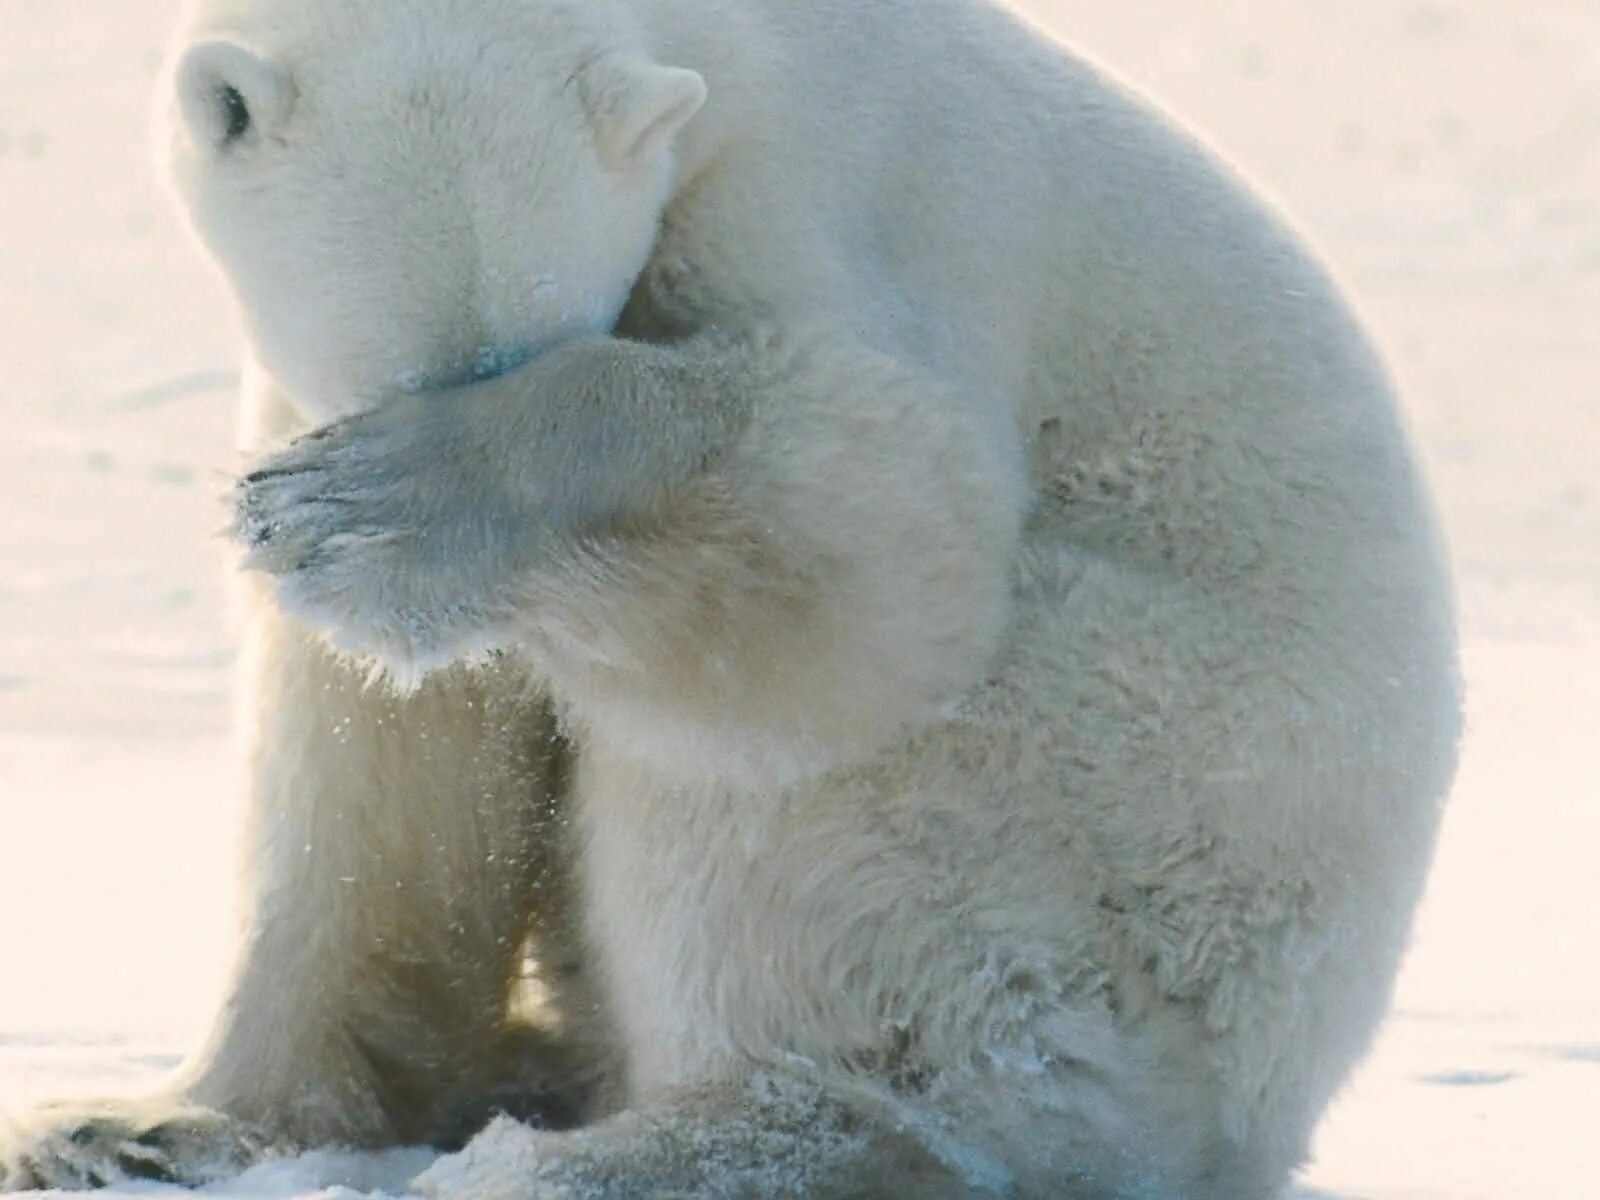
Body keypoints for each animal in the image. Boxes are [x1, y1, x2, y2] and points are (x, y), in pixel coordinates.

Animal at [0, 0, 1459, 1196]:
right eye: (392, 367)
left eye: (531, 350)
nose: (422, 623)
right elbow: (383, 776)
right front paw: (145, 1125)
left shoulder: (802, 204)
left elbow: (882, 520)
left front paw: (377, 506)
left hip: (1144, 818)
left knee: (825, 824)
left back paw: (631, 1150)